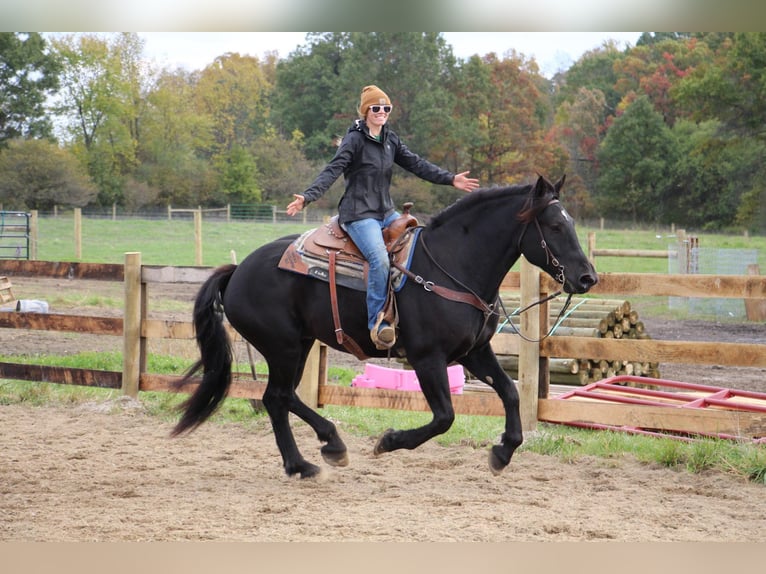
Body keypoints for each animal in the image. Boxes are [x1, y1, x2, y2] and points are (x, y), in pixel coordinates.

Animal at [174, 177, 600, 482]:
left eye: (571, 224)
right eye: (555, 225)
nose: (588, 277)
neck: (453, 264)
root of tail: (237, 271)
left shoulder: (474, 352)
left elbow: (510, 392)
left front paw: (502, 452)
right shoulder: (428, 359)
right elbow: (444, 417)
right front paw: (389, 441)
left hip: (300, 344)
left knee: (281, 397)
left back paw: (323, 448)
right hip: (283, 348)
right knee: (276, 398)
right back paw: (306, 462)